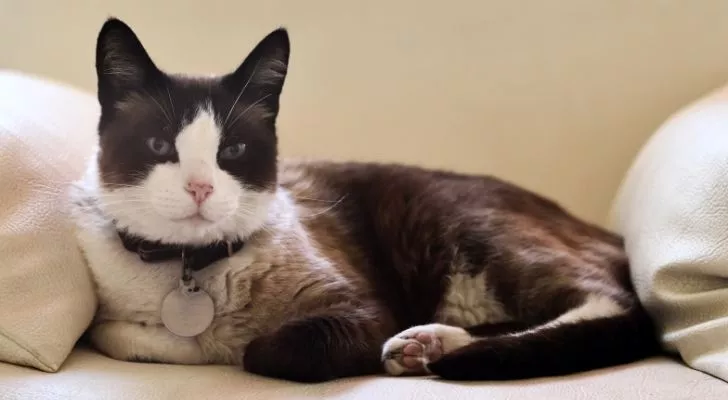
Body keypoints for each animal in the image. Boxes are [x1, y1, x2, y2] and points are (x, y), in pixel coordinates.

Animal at [72, 17, 660, 382]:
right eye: (159, 146)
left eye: (232, 150)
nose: (200, 187)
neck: (189, 268)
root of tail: (604, 233)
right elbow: (115, 334)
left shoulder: (361, 309)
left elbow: (257, 349)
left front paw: (224, 342)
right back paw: (424, 347)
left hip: (458, 223)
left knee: (612, 304)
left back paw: (433, 347)